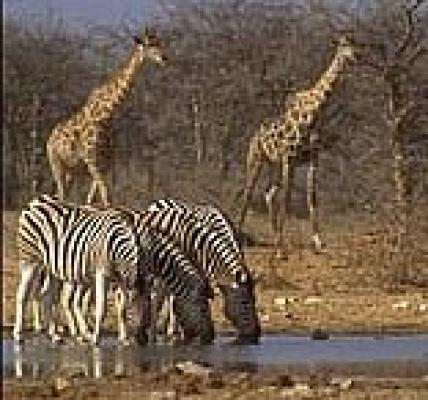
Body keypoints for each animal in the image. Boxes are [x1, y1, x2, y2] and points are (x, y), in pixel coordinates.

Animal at [46, 28, 166, 206]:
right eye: (150, 44)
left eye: (160, 42)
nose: (164, 58)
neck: (106, 115)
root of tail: (50, 139)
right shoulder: (93, 161)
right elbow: (106, 198)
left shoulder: (106, 163)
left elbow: (93, 199)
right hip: (56, 164)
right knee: (61, 195)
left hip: (72, 170)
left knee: (63, 194)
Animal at [239, 36, 356, 258]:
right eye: (342, 46)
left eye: (357, 44)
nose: (355, 57)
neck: (313, 113)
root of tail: (255, 134)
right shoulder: (289, 159)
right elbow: (287, 199)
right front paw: (281, 251)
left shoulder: (312, 159)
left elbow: (311, 197)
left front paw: (318, 243)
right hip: (257, 159)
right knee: (248, 194)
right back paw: (242, 238)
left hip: (274, 165)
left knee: (269, 193)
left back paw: (276, 239)